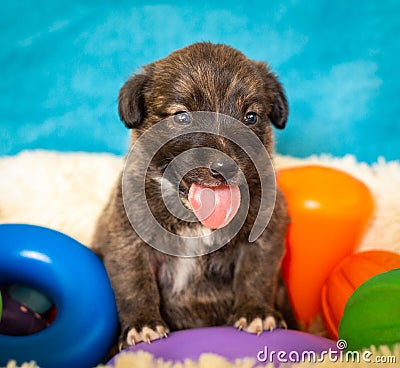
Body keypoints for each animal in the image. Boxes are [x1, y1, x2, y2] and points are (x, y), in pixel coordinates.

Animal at [91, 41, 296, 350]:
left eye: (251, 117)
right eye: (182, 116)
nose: (225, 167)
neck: (194, 218)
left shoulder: (265, 235)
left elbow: (256, 274)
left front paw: (255, 313)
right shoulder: (126, 238)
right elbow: (134, 282)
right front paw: (142, 324)